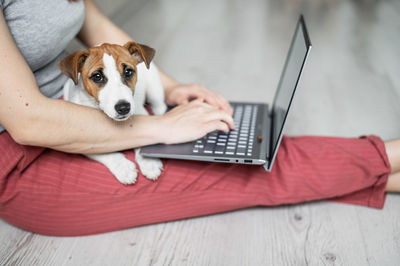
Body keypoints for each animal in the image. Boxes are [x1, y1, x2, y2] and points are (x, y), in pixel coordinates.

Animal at [58, 41, 167, 184]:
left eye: (128, 71)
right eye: (97, 76)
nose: (123, 107)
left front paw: (149, 163)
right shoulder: (80, 141)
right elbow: (105, 152)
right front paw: (123, 168)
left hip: (154, 90)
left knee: (160, 107)